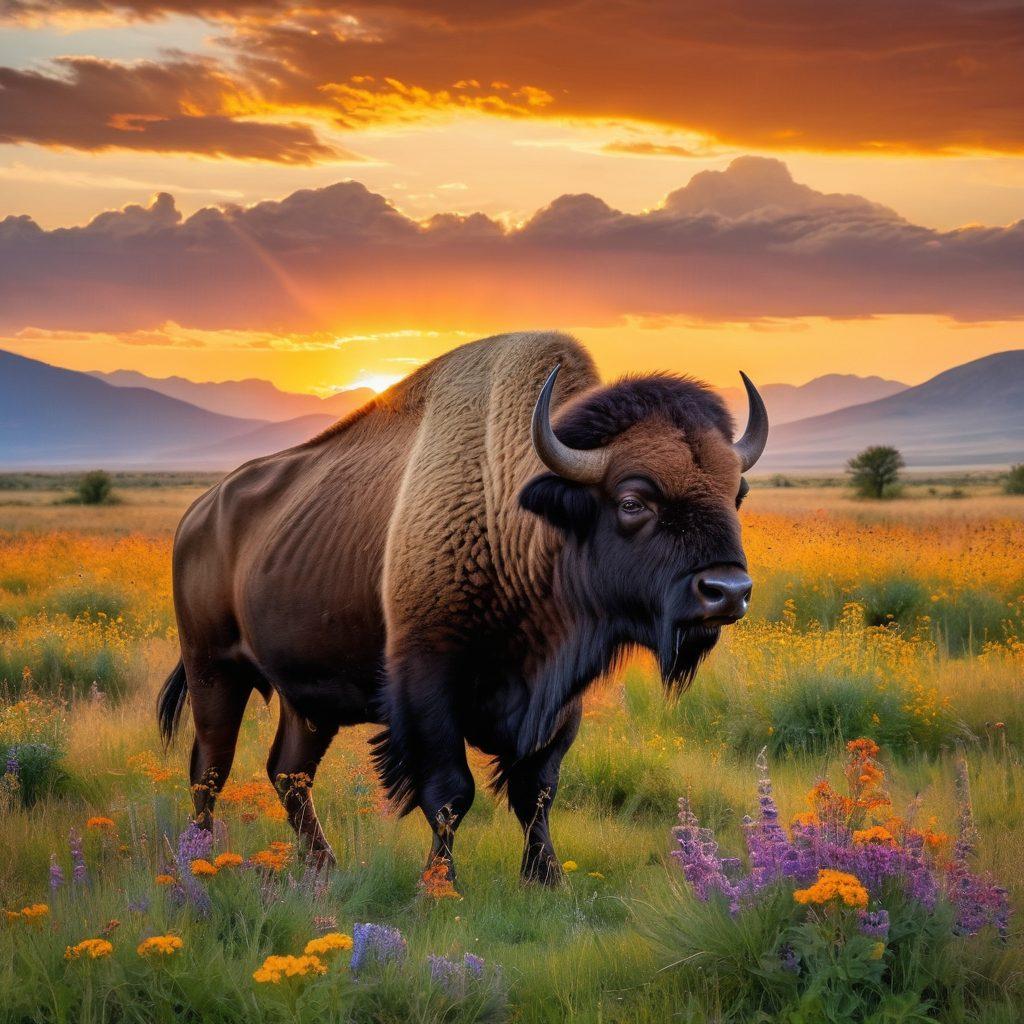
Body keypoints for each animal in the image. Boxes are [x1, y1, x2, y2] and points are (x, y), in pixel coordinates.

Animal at [159, 331, 767, 883]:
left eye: (736, 493)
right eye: (633, 500)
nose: (727, 591)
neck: (520, 515)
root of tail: (197, 514)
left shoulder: (559, 701)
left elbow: (537, 790)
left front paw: (546, 879)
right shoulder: (428, 685)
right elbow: (450, 792)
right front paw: (440, 886)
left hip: (307, 699)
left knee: (289, 774)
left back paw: (323, 868)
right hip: (215, 669)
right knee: (209, 767)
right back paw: (200, 864)